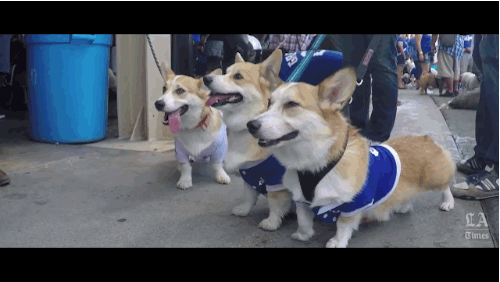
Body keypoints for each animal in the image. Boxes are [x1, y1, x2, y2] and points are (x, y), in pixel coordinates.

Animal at [201, 49, 292, 230]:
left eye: (238, 76)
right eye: (226, 72)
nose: (206, 78)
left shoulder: (276, 179)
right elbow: (249, 195)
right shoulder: (249, 175)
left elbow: (275, 203)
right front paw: (244, 210)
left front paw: (272, 222)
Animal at [248, 67, 456, 248]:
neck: (315, 164)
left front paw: (337, 242)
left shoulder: (354, 203)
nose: (251, 125)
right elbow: (303, 219)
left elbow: (343, 225)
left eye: (291, 104)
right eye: (269, 103)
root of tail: (426, 138)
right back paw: (402, 206)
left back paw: (447, 203)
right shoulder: (302, 200)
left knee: (445, 186)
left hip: (434, 177)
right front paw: (302, 235)